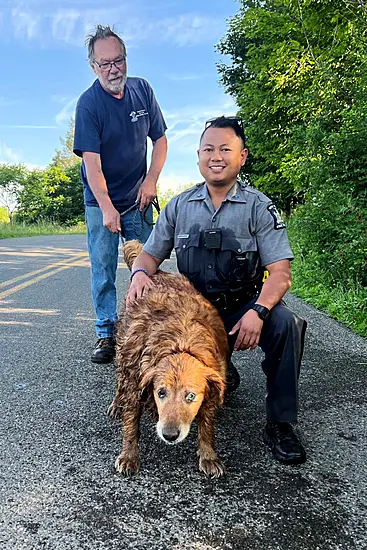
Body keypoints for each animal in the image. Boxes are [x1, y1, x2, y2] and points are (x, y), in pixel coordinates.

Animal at [109, 242, 229, 478]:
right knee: (120, 380)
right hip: (123, 351)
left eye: (190, 396)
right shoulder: (135, 380)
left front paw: (209, 455)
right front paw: (129, 455)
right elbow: (131, 423)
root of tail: (157, 272)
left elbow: (207, 424)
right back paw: (116, 403)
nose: (170, 434)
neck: (180, 341)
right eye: (161, 392)